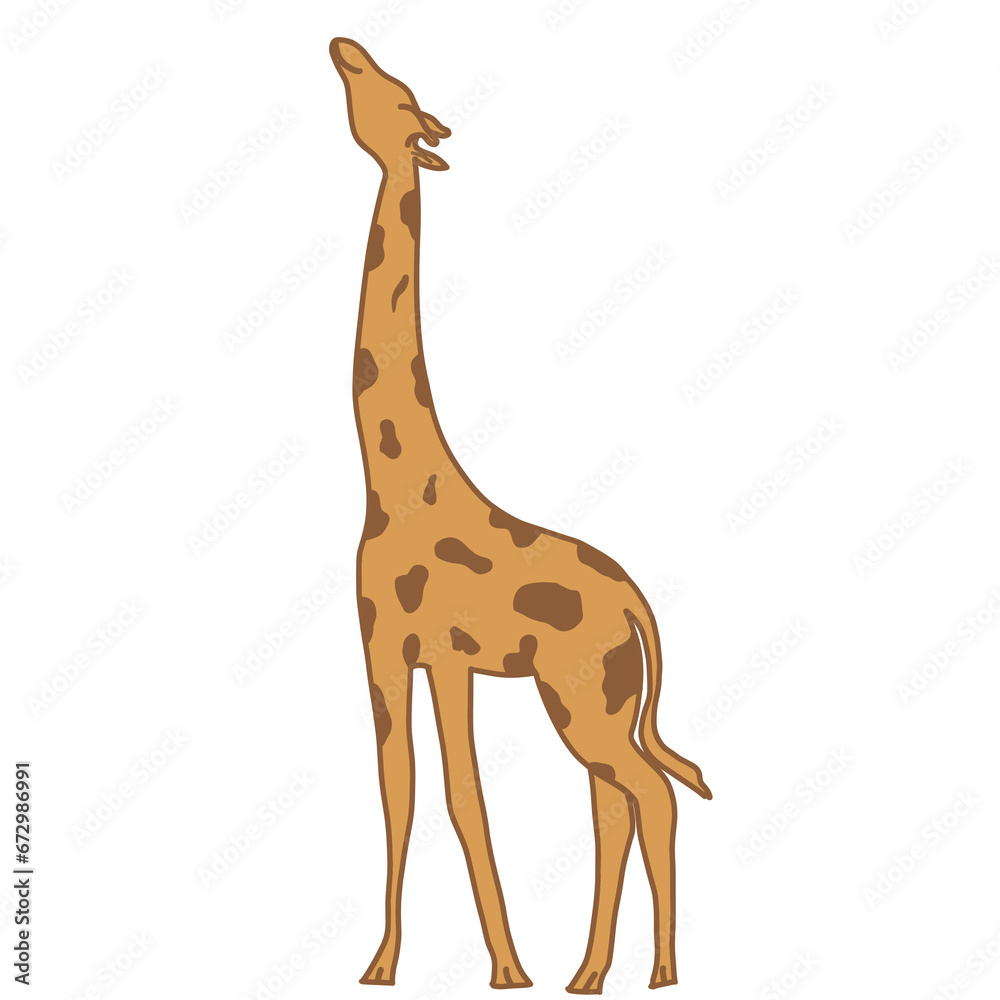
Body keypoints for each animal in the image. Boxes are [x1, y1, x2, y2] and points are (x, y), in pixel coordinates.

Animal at [329, 38, 712, 994]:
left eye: (397, 96)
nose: (344, 47)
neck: (390, 486)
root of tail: (639, 606)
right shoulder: (416, 656)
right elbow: (423, 791)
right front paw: (423, 963)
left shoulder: (408, 648)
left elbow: (437, 793)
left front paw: (479, 965)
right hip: (594, 695)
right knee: (615, 802)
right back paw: (589, 973)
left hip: (583, 695)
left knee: (648, 793)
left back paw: (659, 971)